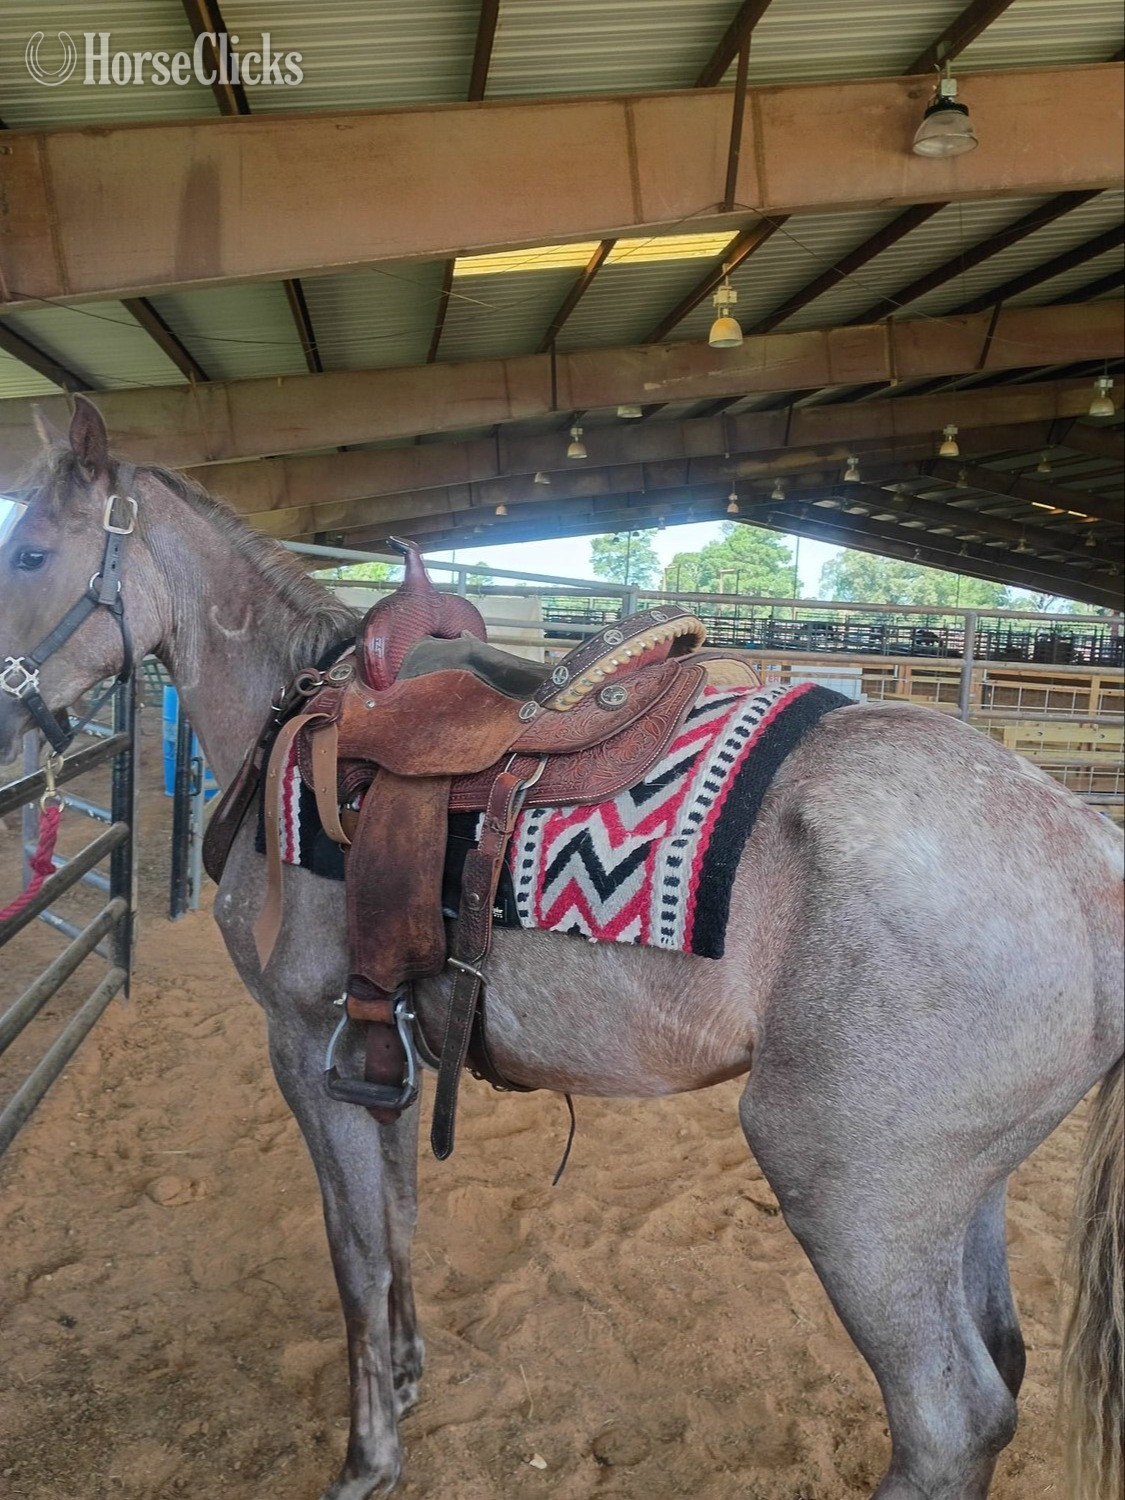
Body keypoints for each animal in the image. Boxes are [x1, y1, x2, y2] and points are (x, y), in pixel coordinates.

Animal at [1, 396, 1121, 1500]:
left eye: (27, 553)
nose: (5, 719)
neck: (300, 715)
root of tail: (1092, 855)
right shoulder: (379, 1048)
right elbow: (396, 1221)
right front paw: (405, 1377)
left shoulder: (304, 1043)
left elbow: (355, 1253)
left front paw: (368, 1461)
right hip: (962, 1193)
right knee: (1001, 1365)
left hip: (855, 1198)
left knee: (948, 1425)